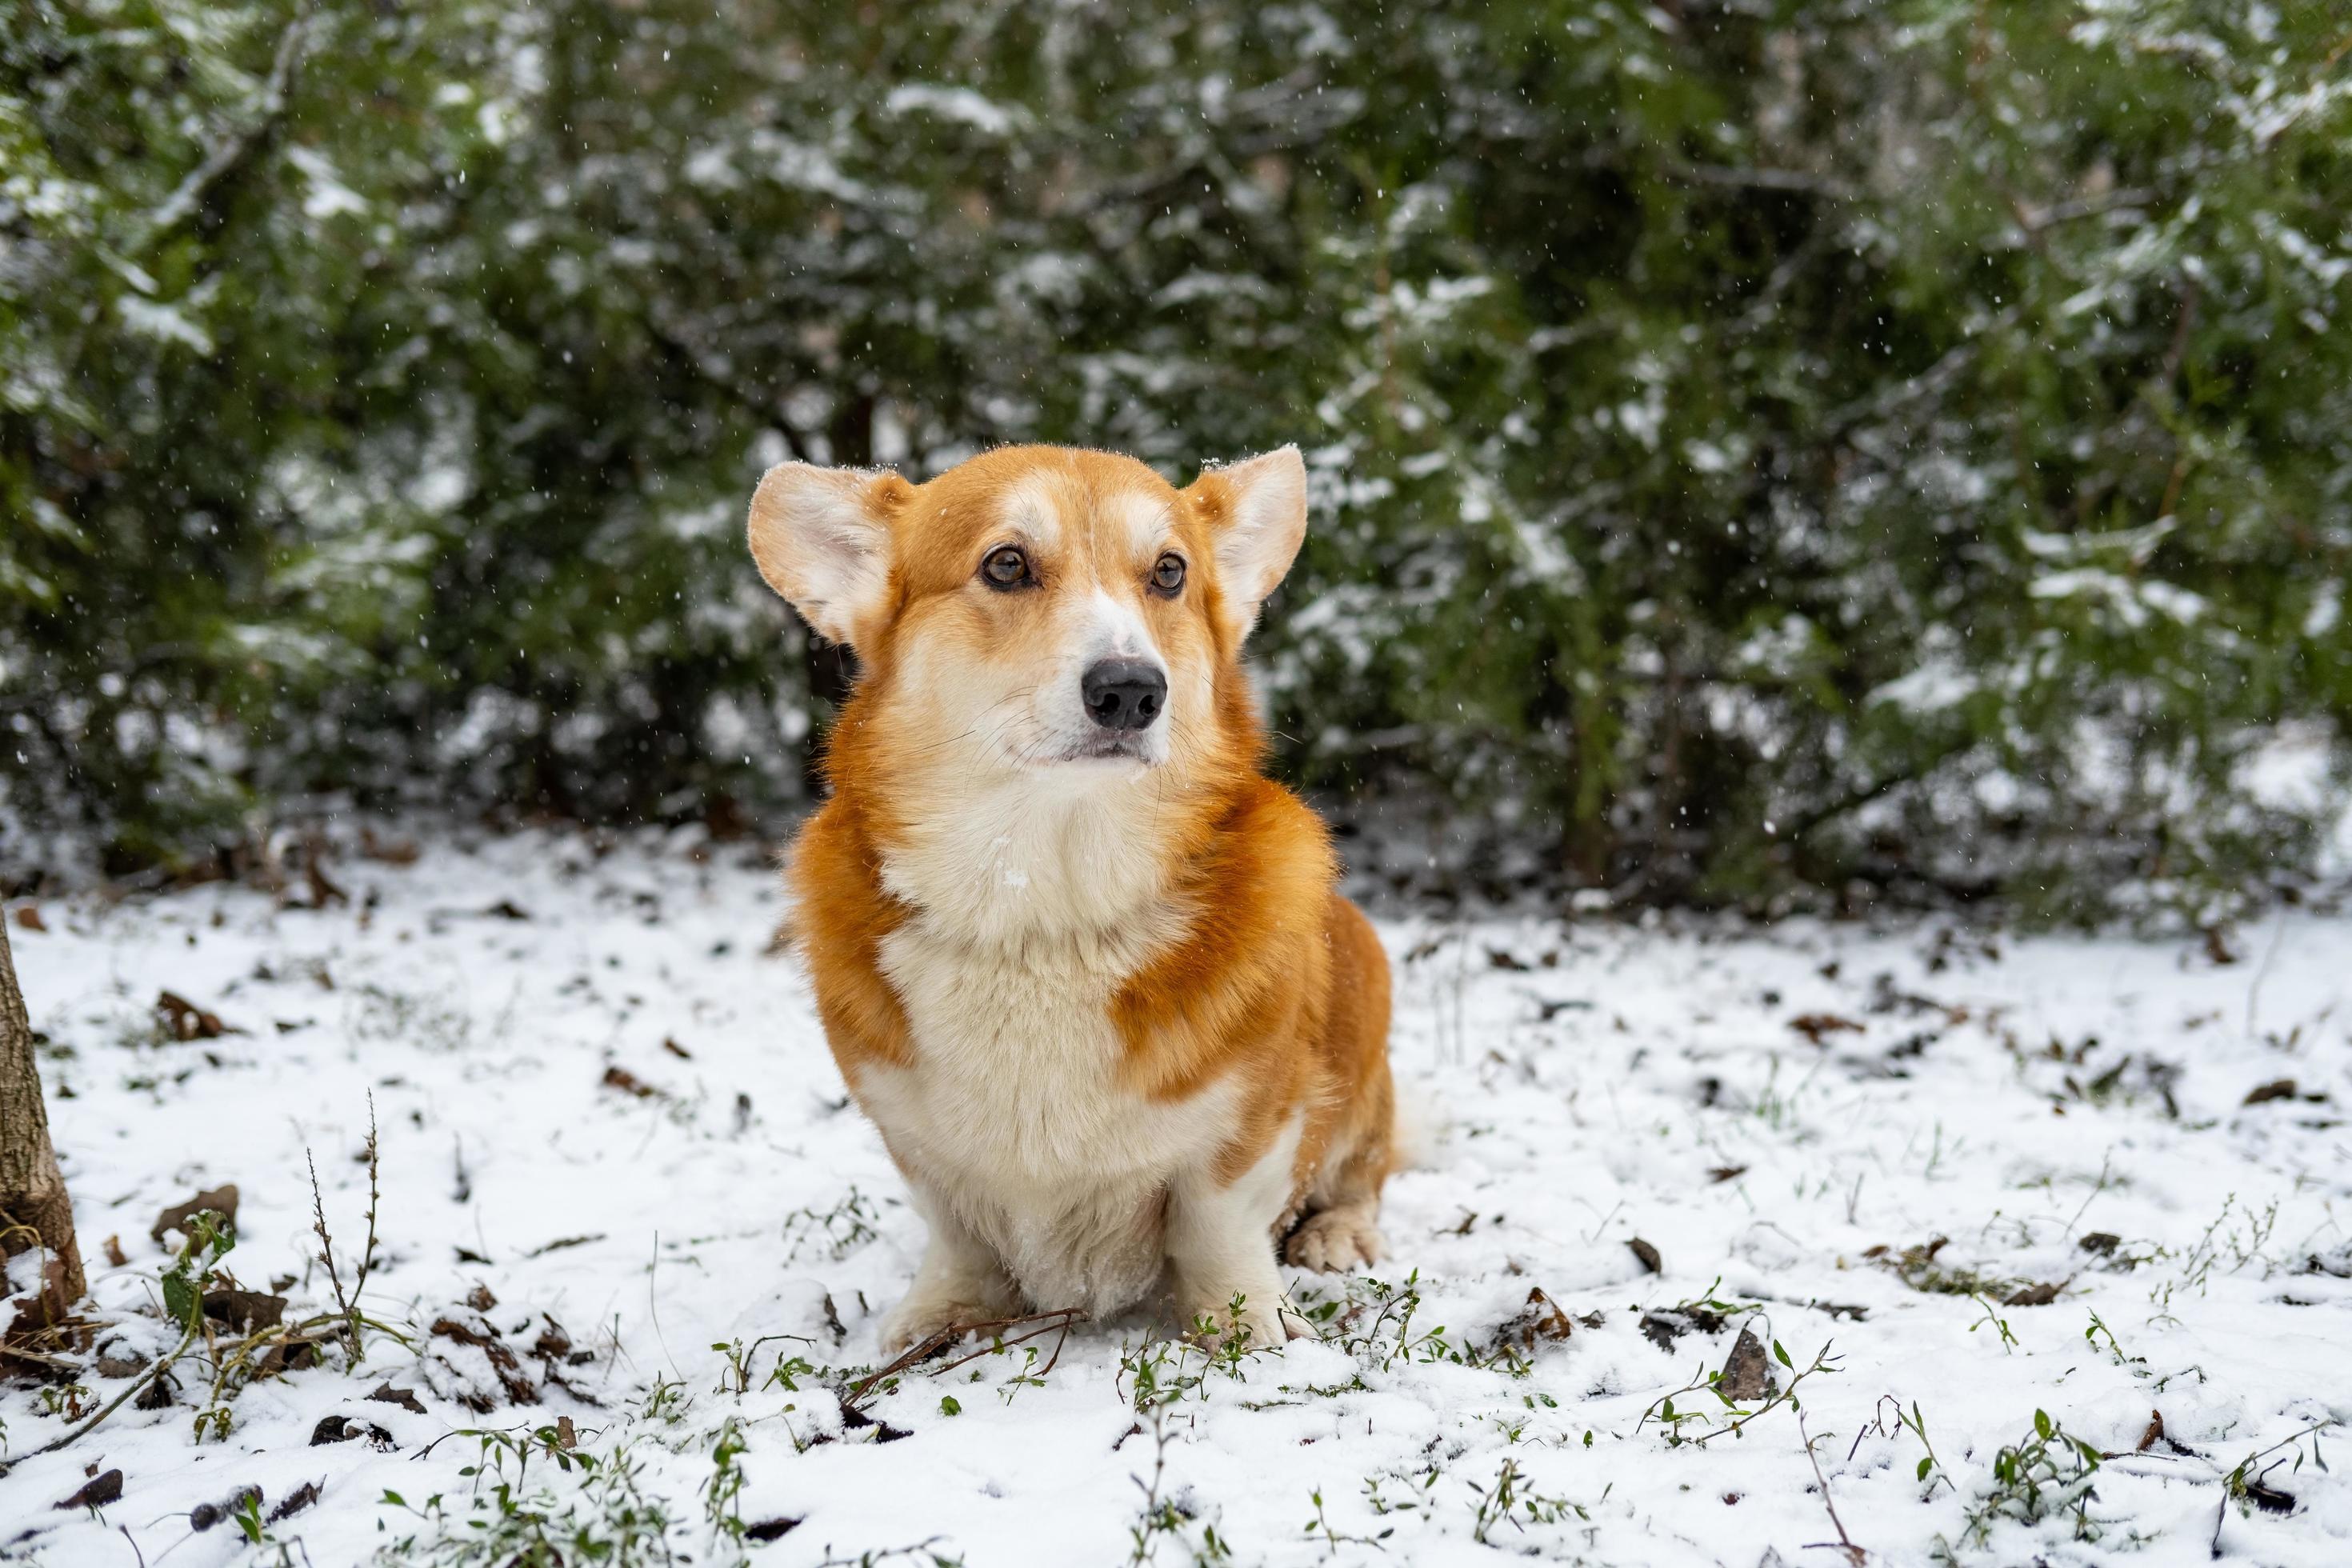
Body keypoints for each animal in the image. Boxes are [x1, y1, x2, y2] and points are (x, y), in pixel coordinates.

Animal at [743, 442, 1382, 1354]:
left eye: (1169, 572)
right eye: (1006, 564)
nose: (1131, 690)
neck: (1048, 915)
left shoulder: (1255, 1120)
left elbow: (1217, 1222)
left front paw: (1248, 1324)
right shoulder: (910, 1132)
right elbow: (957, 1231)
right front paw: (940, 1315)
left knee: (1366, 1166)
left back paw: (1337, 1232)